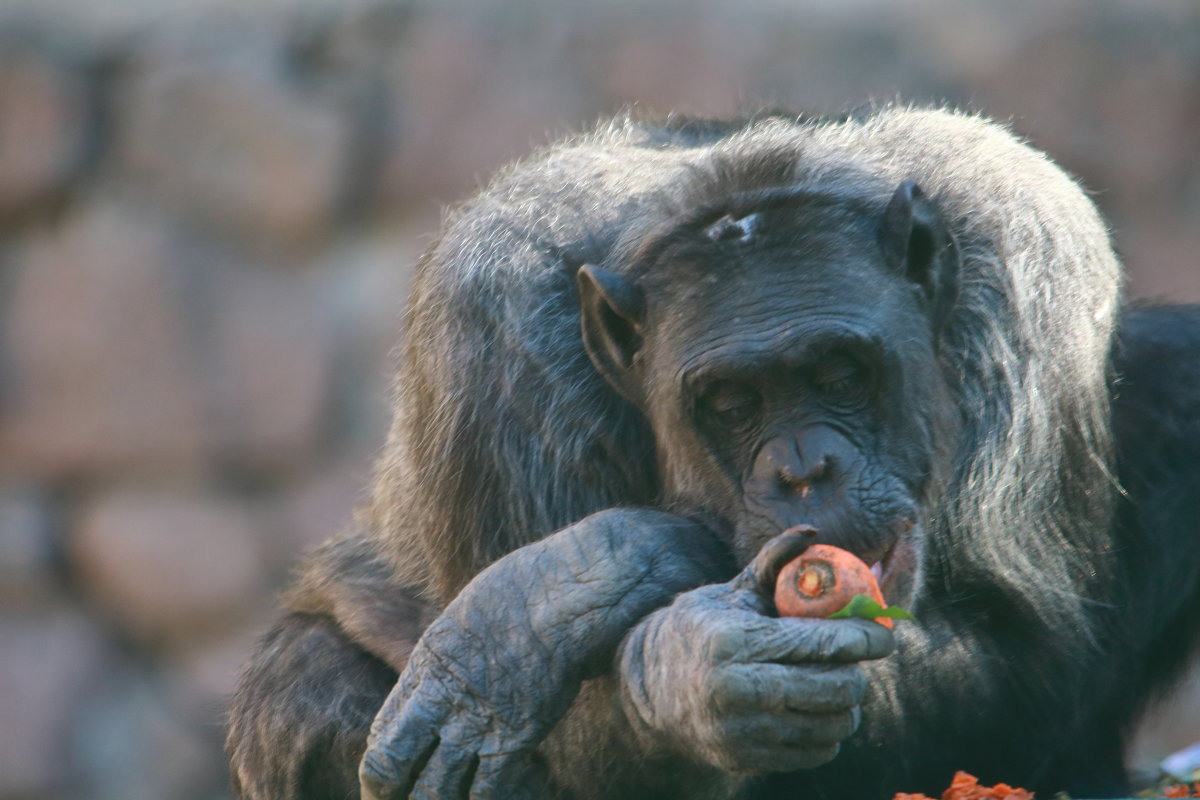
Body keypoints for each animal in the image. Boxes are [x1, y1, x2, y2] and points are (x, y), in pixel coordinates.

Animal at [223, 106, 1200, 800]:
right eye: (731, 403)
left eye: (841, 372)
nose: (804, 469)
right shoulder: (487, 336)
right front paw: (667, 664)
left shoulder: (1030, 268)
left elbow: (1025, 641)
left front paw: (572, 600)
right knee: (307, 695)